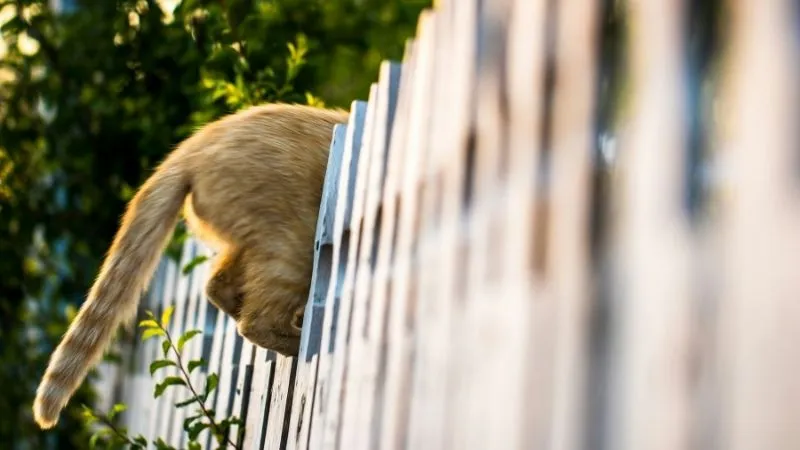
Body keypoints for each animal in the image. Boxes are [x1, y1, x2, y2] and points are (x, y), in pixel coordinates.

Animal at [32, 102, 348, 428]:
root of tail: (193, 147)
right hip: (293, 247)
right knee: (256, 321)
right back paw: (300, 342)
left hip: (255, 244)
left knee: (217, 287)